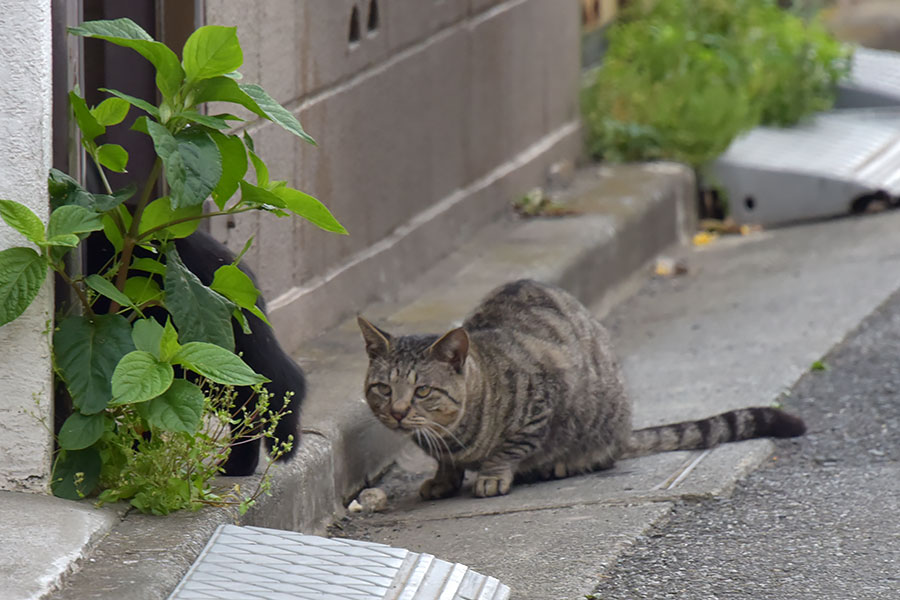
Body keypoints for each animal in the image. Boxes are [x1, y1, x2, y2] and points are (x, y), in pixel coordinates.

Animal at [356, 278, 804, 500]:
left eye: (422, 391)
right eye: (382, 388)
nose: (397, 411)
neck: (455, 436)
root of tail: (625, 432)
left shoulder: (543, 398)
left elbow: (510, 448)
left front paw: (491, 475)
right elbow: (446, 464)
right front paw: (443, 479)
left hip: (601, 414)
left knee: (603, 456)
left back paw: (566, 462)